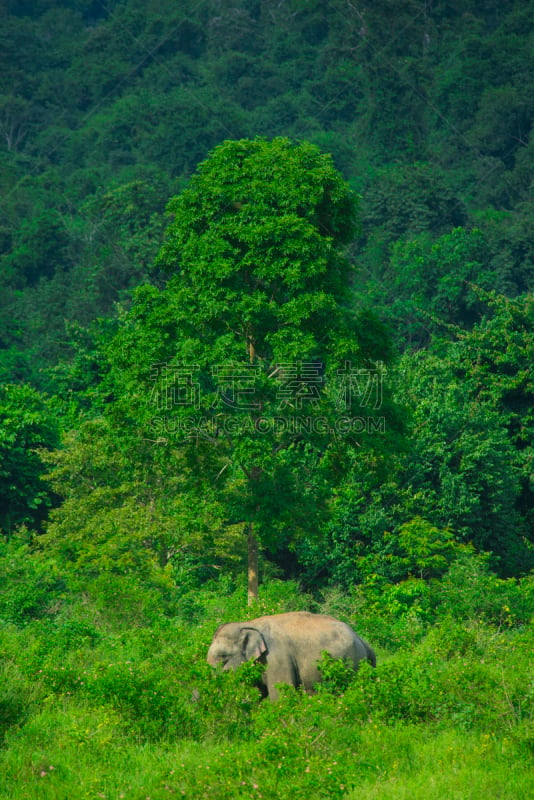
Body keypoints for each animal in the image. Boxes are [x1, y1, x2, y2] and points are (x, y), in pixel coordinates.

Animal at [206, 612, 376, 700]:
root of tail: (362, 640)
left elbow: (280, 695)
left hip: (351, 663)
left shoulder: (276, 658)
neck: (248, 623)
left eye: (222, 657)